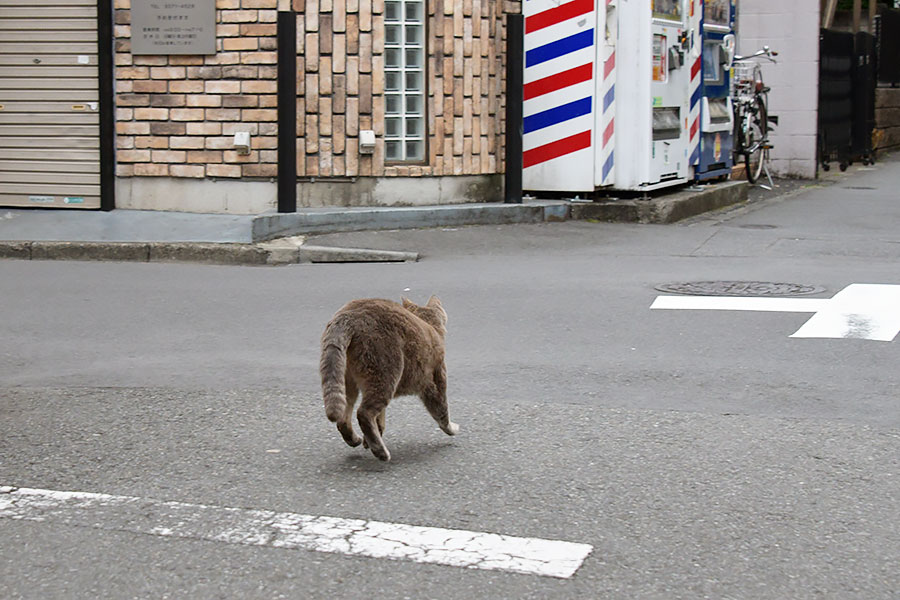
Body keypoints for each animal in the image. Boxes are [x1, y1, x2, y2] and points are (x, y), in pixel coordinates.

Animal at [318, 298, 460, 462]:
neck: (429, 325)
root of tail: (349, 315)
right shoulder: (434, 379)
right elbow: (442, 411)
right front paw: (452, 428)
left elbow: (380, 419)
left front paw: (369, 439)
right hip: (385, 374)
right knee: (363, 413)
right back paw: (380, 452)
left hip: (347, 380)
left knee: (344, 419)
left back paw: (356, 440)